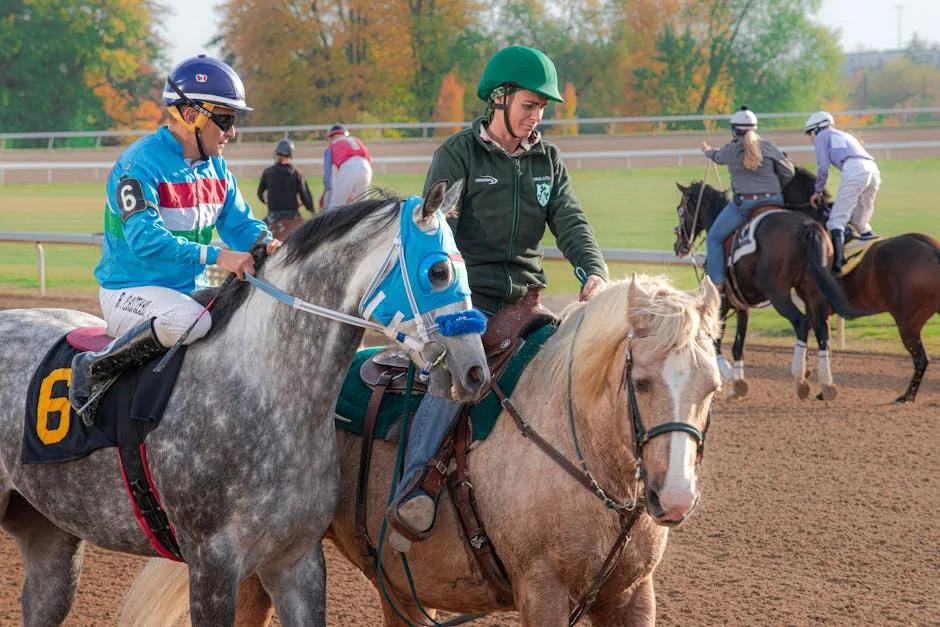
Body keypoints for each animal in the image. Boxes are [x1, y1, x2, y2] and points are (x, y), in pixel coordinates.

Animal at [0, 182, 490, 626]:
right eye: (438, 271)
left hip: (50, 537)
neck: (263, 394)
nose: (475, 372)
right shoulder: (212, 564)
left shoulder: (297, 561)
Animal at [122, 274, 724, 626]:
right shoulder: (542, 592)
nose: (674, 500)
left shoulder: (631, 594)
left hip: (394, 582)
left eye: (713, 386)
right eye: (640, 382)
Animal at [673, 180, 862, 401]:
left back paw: (800, 378)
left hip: (778, 292)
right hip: (812, 292)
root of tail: (806, 227)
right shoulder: (742, 306)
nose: (679, 245)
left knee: (801, 322)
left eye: (680, 209)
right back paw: (827, 384)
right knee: (821, 328)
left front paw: (730, 377)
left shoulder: (722, 303)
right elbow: (737, 346)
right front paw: (737, 385)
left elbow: (716, 340)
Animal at [783, 167, 940, 403]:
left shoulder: (815, 302)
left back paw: (906, 396)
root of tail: (932, 248)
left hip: (908, 321)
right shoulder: (821, 308)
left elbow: (817, 336)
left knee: (921, 358)